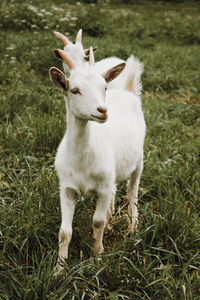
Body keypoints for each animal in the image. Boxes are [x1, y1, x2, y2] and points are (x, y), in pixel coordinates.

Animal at [48, 48, 145, 270]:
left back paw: (132, 227)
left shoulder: (103, 188)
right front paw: (59, 268)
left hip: (140, 159)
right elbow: (64, 231)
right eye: (74, 90)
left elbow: (97, 222)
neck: (82, 159)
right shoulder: (66, 188)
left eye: (104, 87)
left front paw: (97, 256)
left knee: (132, 192)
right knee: (116, 189)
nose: (103, 110)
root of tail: (127, 90)